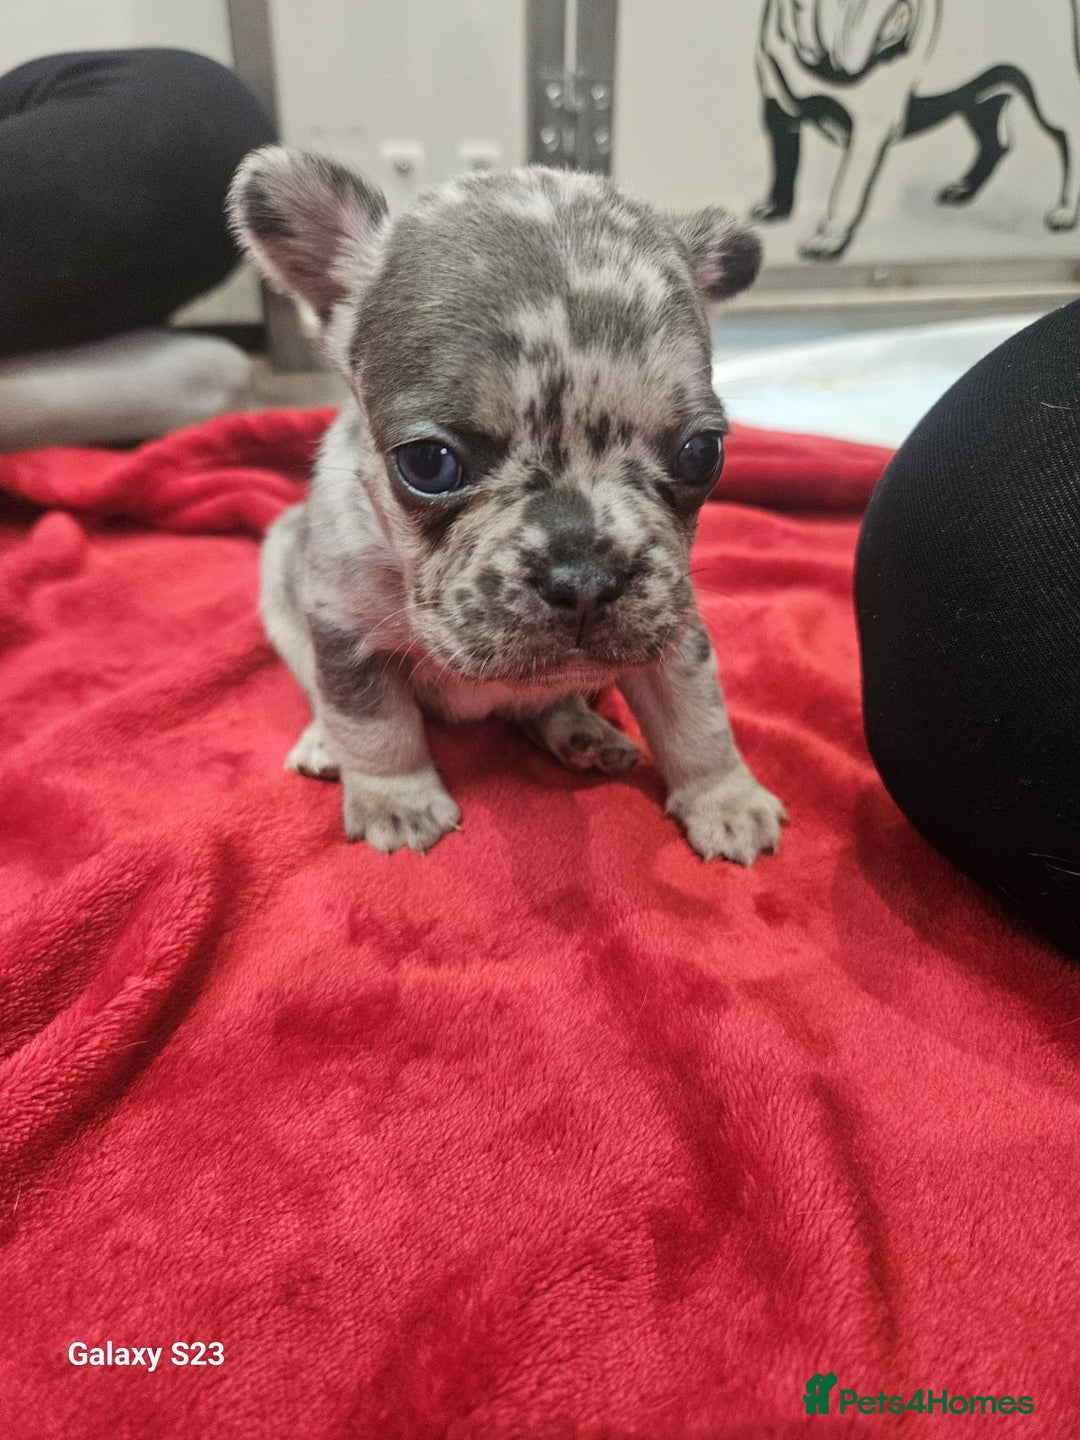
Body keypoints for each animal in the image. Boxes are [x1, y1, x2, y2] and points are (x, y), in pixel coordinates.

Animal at [228, 147, 786, 860]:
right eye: (428, 463)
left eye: (701, 454)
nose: (585, 578)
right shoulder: (345, 632)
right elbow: (374, 723)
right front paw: (396, 800)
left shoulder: (675, 631)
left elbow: (697, 714)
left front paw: (726, 798)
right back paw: (325, 741)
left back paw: (583, 733)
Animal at [755, 0, 1080, 259]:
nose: (903, 6)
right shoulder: (777, 112)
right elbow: (784, 163)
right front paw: (776, 207)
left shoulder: (867, 130)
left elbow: (843, 192)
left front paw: (828, 238)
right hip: (977, 98)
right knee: (995, 142)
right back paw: (964, 189)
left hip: (1047, 97)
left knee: (1067, 137)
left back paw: (1064, 212)